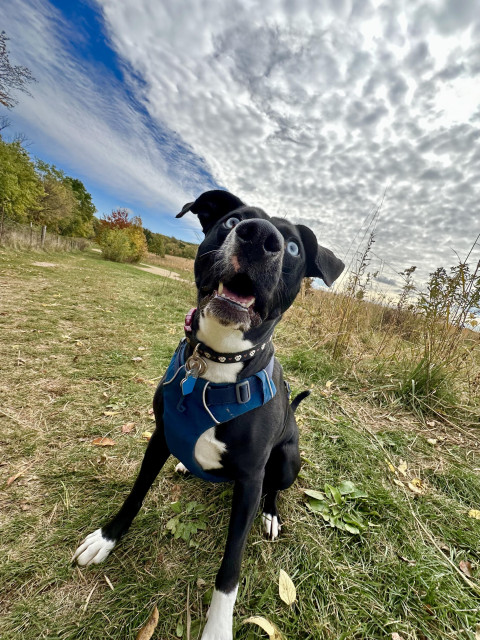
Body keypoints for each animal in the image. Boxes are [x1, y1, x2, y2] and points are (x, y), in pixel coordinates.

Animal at [73, 191, 344, 640]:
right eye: (231, 220)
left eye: (292, 248)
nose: (258, 238)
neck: (215, 361)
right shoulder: (160, 435)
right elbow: (135, 494)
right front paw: (107, 538)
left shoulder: (250, 480)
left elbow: (230, 568)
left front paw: (217, 627)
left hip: (288, 459)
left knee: (275, 488)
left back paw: (271, 515)